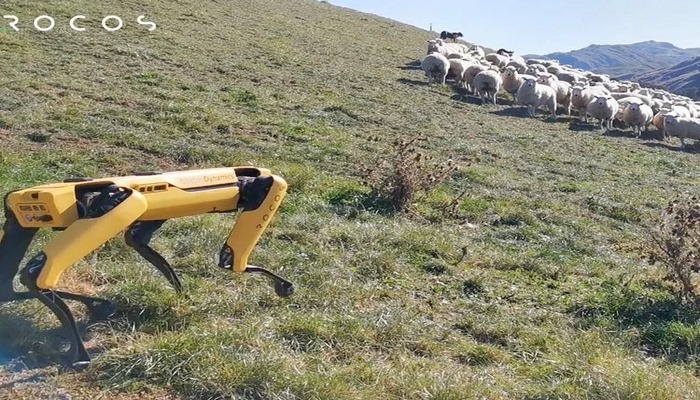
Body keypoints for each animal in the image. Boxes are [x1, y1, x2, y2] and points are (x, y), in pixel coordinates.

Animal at [0, 166, 292, 368]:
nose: (286, 288)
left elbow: (140, 241)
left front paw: (182, 294)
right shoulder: (123, 203)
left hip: (25, 224)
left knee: (10, 286)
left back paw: (95, 308)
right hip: (120, 206)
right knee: (35, 272)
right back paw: (79, 352)